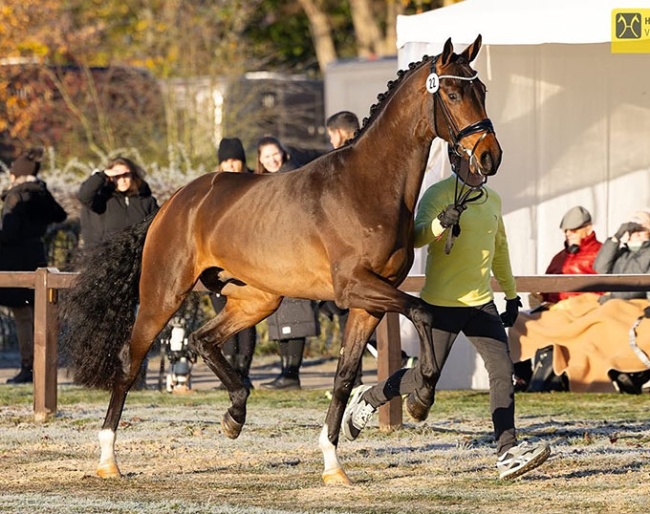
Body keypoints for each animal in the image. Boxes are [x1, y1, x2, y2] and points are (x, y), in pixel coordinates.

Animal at [60, 35, 502, 485]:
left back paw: (235, 414)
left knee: (203, 340)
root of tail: (171, 203)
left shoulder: (369, 303)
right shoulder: (355, 288)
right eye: (452, 94)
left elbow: (345, 376)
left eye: (482, 91)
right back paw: (108, 459)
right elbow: (423, 311)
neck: (368, 187)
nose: (490, 157)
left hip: (256, 300)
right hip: (162, 297)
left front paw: (333, 465)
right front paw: (422, 398)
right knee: (130, 363)